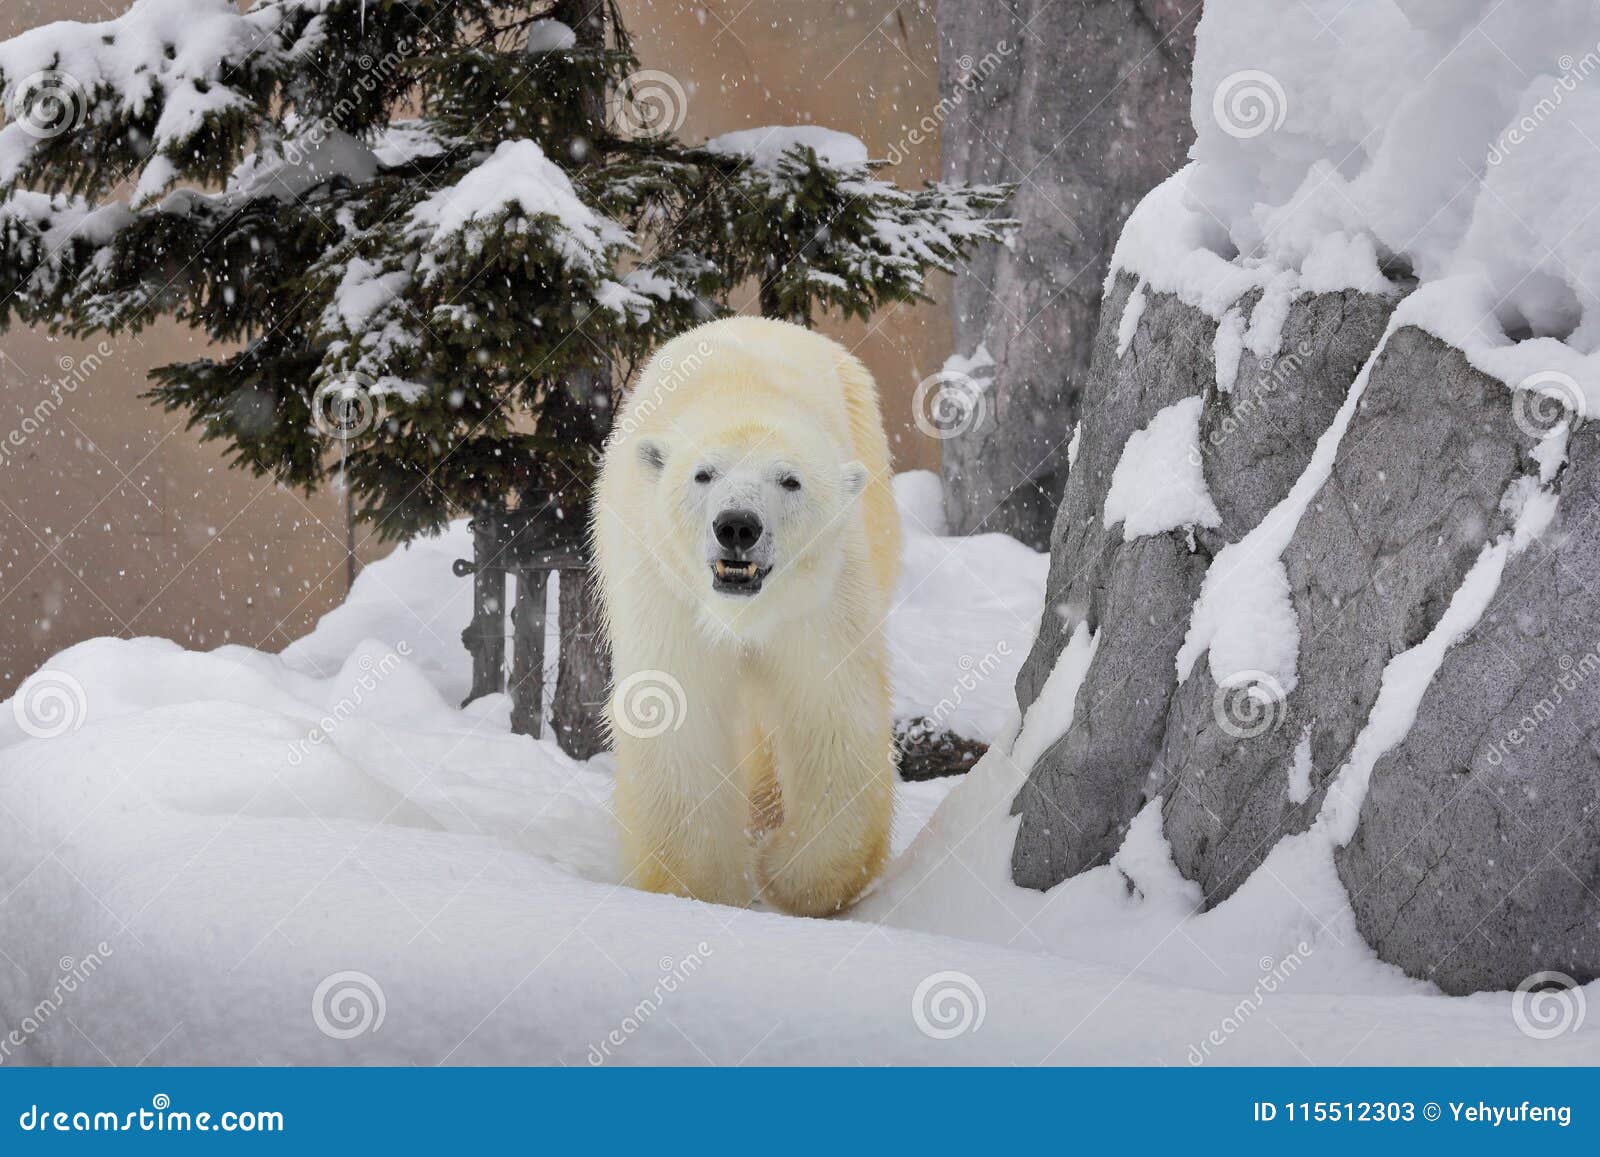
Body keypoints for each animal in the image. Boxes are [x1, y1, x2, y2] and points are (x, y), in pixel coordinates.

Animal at [595, 315, 908, 915]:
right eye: (704, 474)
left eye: (790, 480)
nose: (737, 525)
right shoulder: (665, 590)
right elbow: (676, 714)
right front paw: (704, 890)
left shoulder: (822, 595)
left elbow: (833, 712)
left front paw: (785, 873)